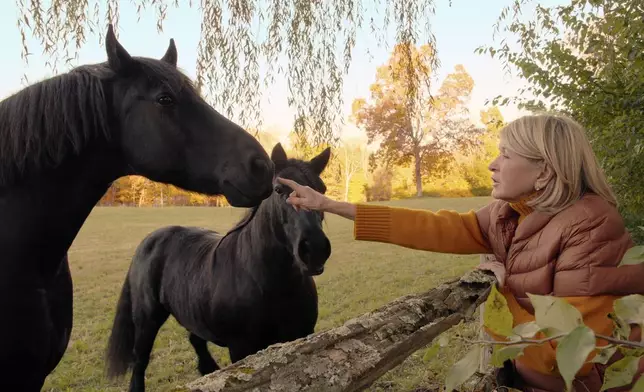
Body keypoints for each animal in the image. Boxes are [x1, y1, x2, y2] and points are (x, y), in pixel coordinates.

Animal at [105, 144, 332, 392]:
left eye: (321, 190)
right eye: (279, 189)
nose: (315, 248)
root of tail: (150, 240)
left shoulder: (302, 336)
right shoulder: (242, 349)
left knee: (195, 339)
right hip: (147, 318)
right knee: (140, 359)